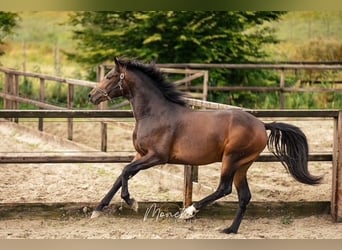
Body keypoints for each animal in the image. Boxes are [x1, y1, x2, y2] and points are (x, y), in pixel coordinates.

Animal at [87, 57, 320, 233]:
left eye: (109, 76)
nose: (91, 95)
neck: (154, 113)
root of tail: (262, 125)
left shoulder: (157, 157)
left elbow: (125, 172)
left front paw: (132, 202)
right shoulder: (140, 154)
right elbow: (120, 177)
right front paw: (97, 210)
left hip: (231, 159)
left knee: (224, 188)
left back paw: (188, 212)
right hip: (243, 165)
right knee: (244, 196)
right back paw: (230, 229)